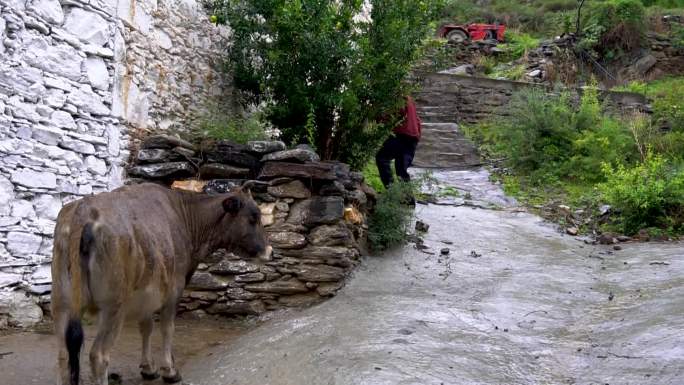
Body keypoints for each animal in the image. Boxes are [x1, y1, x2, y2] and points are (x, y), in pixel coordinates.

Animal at [51, 183, 270, 384]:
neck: (185, 216)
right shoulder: (174, 288)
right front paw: (170, 371)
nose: (269, 250)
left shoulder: (148, 291)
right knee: (98, 356)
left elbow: (146, 326)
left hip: (62, 302)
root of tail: (83, 211)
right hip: (113, 306)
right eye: (253, 217)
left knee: (63, 354)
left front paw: (148, 368)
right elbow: (167, 327)